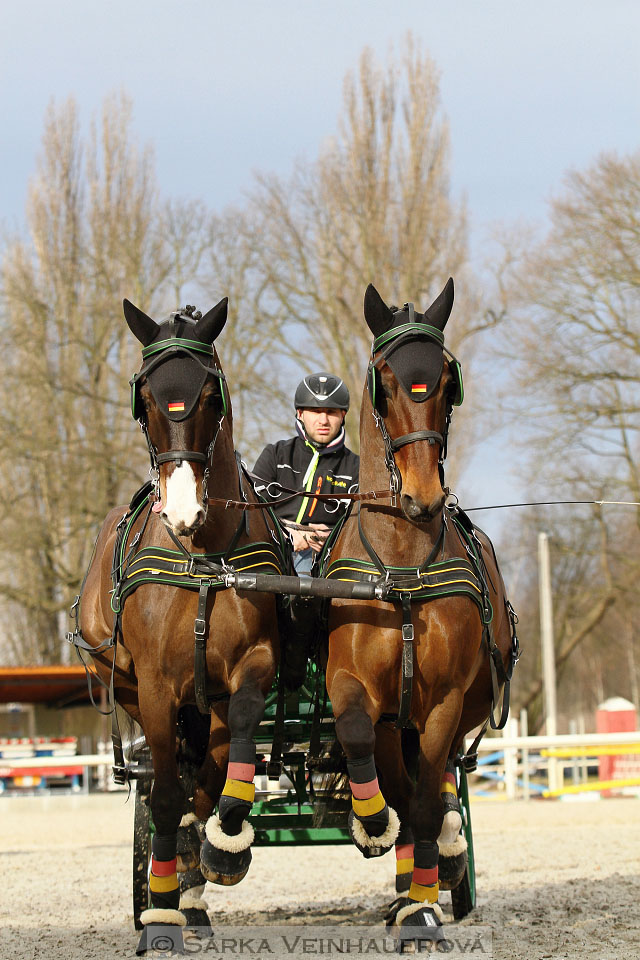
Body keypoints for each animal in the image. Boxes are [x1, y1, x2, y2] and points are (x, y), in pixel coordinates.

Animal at [77, 302, 282, 952]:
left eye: (210, 395)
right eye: (144, 399)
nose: (184, 509)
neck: (203, 555)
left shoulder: (252, 664)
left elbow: (233, 750)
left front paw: (224, 845)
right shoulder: (157, 686)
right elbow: (166, 795)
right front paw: (163, 908)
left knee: (208, 769)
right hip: (132, 690)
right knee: (172, 781)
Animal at [322, 278, 516, 944]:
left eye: (445, 377)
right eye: (385, 377)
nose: (424, 496)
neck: (402, 566)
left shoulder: (443, 704)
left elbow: (430, 800)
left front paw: (423, 903)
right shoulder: (357, 692)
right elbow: (376, 763)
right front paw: (371, 821)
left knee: (437, 792)